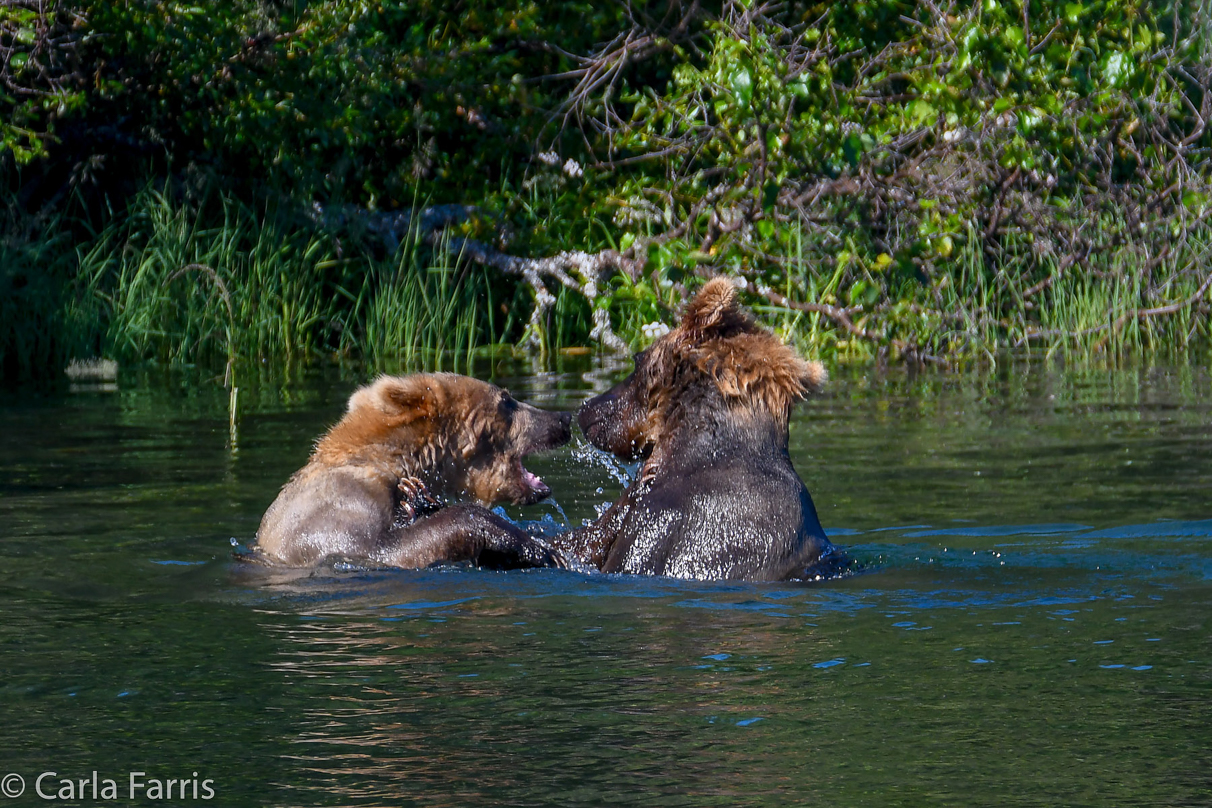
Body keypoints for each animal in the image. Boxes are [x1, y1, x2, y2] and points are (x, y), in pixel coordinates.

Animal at [252, 373, 572, 569]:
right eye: (506, 400)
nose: (562, 418)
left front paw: (418, 499)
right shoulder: (337, 514)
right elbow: (387, 548)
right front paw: (538, 548)